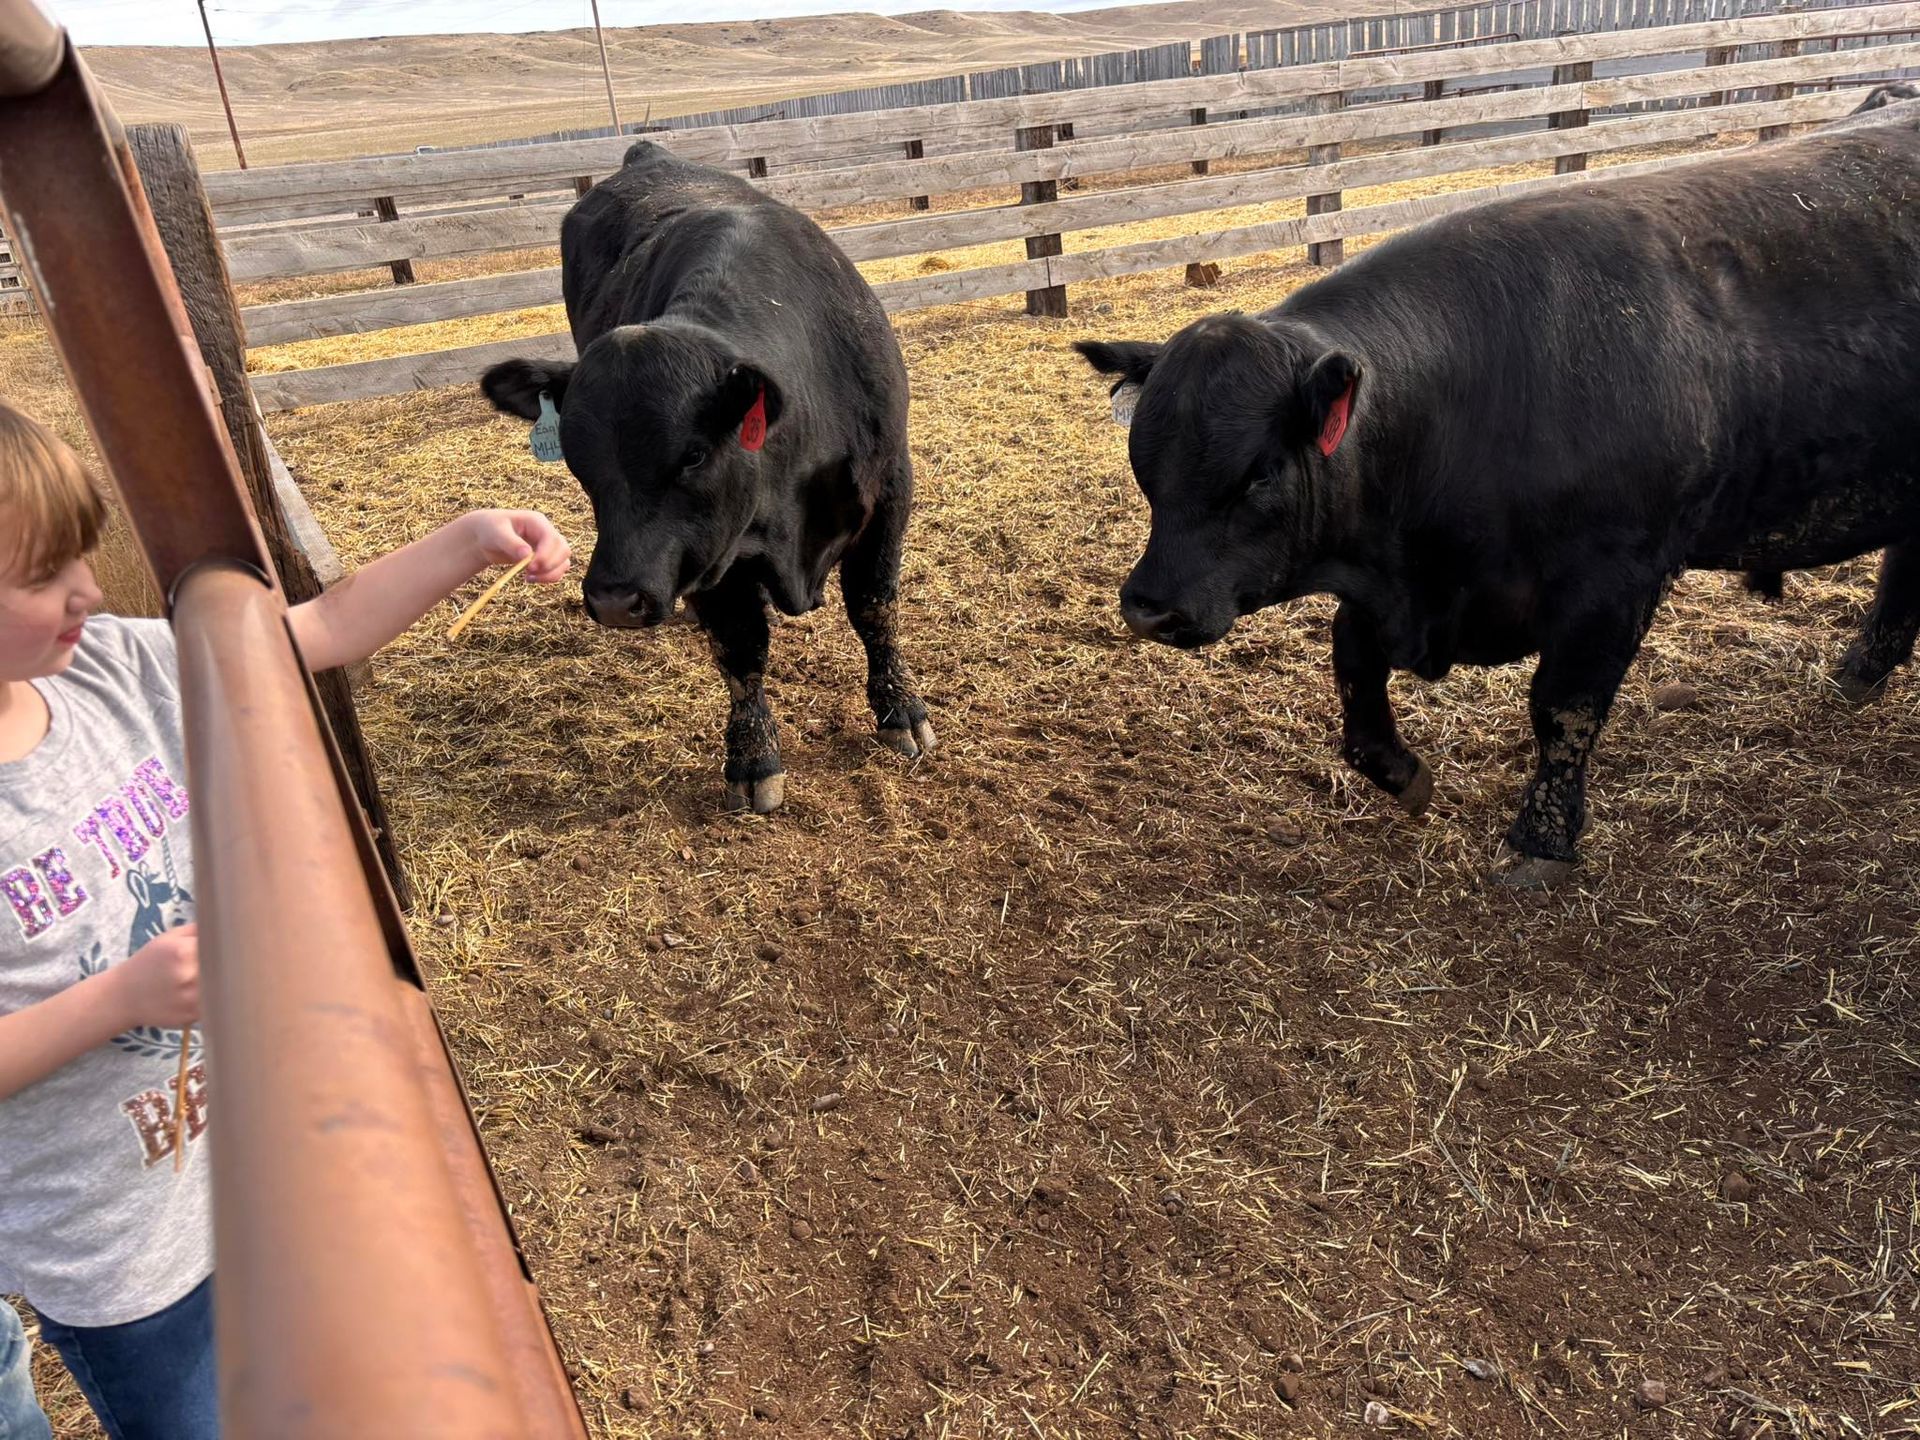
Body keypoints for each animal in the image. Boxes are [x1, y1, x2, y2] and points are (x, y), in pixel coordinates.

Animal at [481, 142, 934, 813]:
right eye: (578, 460)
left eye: (693, 455)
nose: (614, 599)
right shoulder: (715, 550)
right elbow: (741, 648)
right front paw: (753, 760)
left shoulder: (889, 491)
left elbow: (875, 607)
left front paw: (901, 709)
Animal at [1076, 99, 1920, 887]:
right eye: (1145, 467)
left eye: (1258, 472)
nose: (1148, 606)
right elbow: (1351, 668)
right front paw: (1403, 773)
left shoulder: (1615, 582)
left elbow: (1564, 708)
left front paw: (1540, 841)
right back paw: (1857, 674)